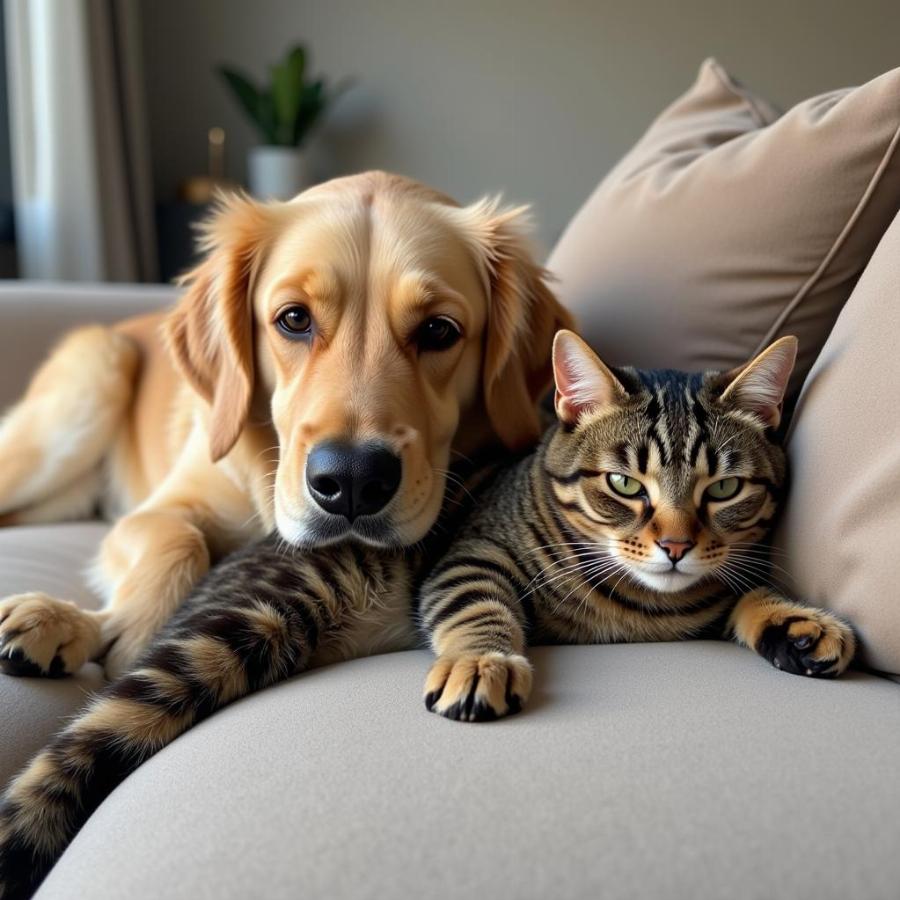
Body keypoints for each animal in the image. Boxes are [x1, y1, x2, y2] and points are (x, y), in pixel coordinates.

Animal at [0, 172, 568, 676]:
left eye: (438, 330)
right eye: (294, 319)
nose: (353, 481)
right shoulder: (152, 512)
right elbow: (181, 541)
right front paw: (100, 625)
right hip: (92, 380)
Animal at [0, 332, 856, 900]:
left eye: (724, 489)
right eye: (624, 484)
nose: (676, 545)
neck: (638, 606)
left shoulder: (706, 586)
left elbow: (739, 589)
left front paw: (794, 619)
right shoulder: (470, 558)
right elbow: (481, 611)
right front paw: (481, 660)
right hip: (249, 622)